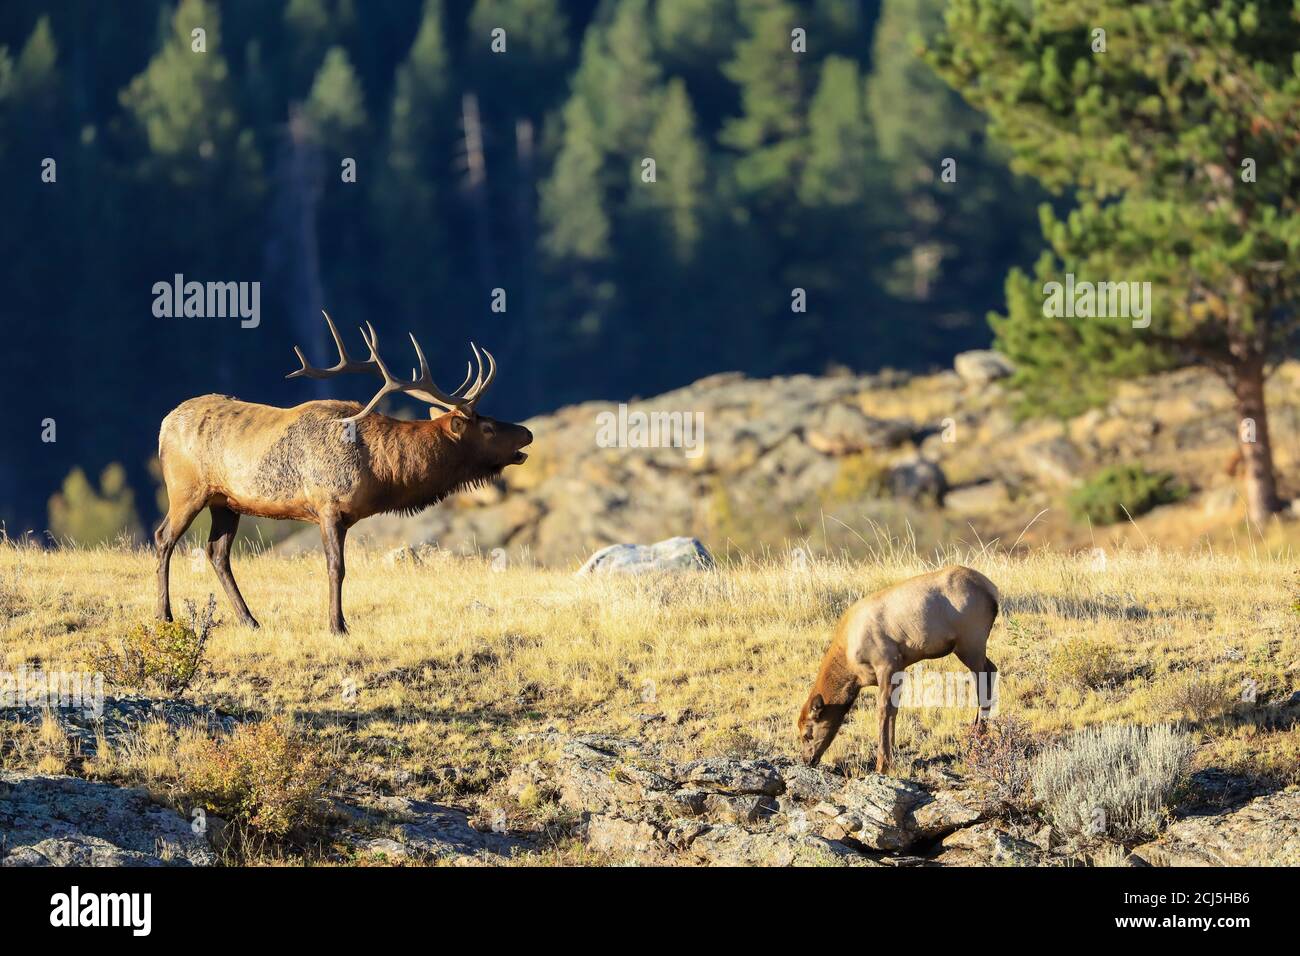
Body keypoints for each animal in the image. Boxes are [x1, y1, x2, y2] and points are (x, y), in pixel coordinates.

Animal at [155, 312, 533, 634]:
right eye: (486, 427)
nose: (527, 432)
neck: (382, 472)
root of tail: (163, 424)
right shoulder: (328, 506)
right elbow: (336, 568)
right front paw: (337, 625)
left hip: (226, 502)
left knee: (216, 553)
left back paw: (250, 620)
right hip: (186, 490)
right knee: (164, 538)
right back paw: (165, 615)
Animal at [797, 565, 999, 773]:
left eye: (807, 733)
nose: (807, 759)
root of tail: (993, 592)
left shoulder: (887, 663)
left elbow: (883, 710)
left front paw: (882, 764)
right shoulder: (899, 668)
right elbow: (894, 709)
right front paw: (892, 756)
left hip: (970, 643)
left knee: (984, 681)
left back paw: (977, 740)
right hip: (971, 647)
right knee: (992, 669)